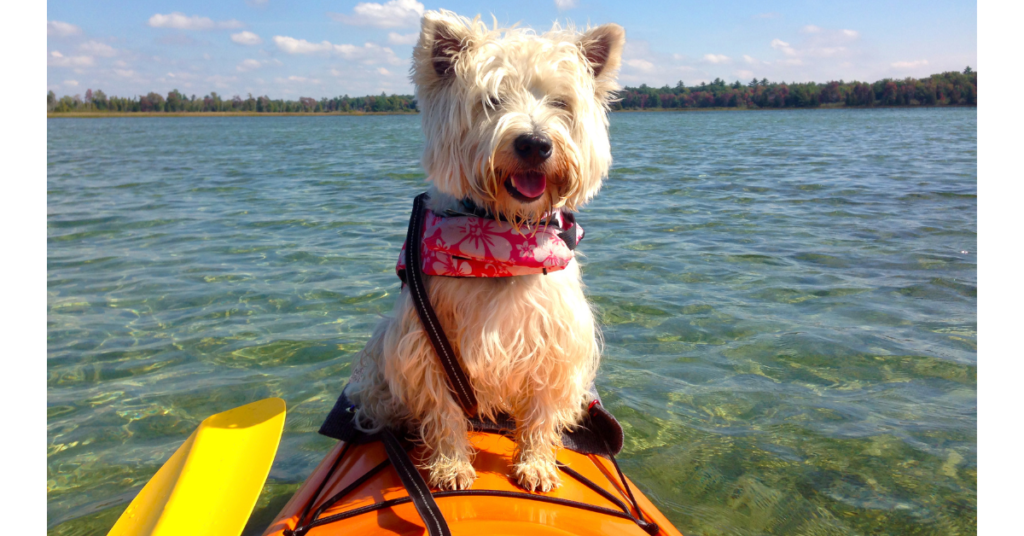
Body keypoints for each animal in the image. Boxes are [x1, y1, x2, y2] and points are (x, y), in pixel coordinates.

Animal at [350, 9, 622, 496]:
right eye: (492, 100)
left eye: (560, 103)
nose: (535, 143)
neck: (502, 236)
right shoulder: (425, 345)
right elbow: (442, 412)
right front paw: (450, 466)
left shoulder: (556, 345)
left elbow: (541, 414)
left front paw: (535, 463)